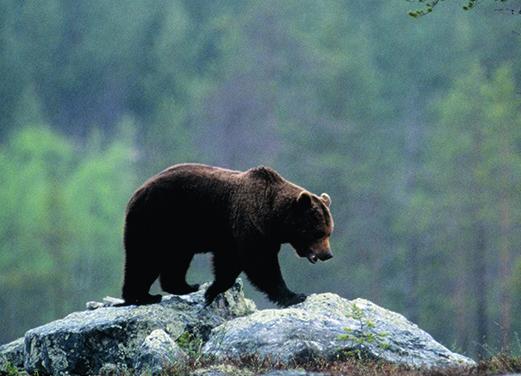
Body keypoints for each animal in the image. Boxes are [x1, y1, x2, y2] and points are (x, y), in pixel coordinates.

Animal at [121, 163, 334, 306]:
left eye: (329, 231)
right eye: (318, 233)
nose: (327, 254)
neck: (273, 218)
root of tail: (137, 192)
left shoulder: (233, 235)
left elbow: (228, 263)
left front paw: (211, 291)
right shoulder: (250, 226)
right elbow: (260, 264)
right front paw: (294, 296)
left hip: (178, 234)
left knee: (176, 259)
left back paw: (186, 286)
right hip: (158, 220)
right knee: (145, 257)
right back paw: (143, 296)